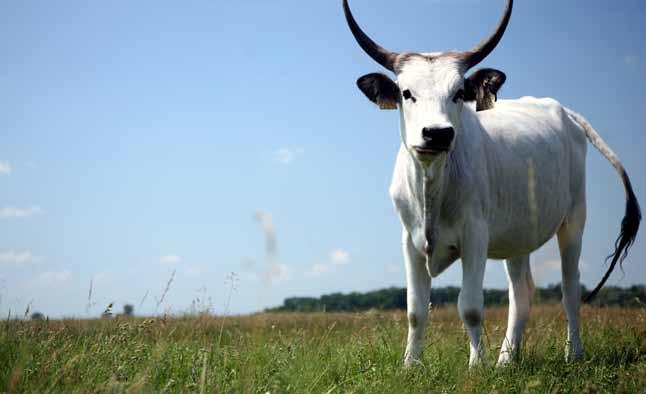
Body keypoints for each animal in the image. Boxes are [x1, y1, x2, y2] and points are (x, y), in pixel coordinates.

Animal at [344, 0, 644, 368]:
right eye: (406, 93)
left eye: (459, 93)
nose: (437, 133)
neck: (432, 186)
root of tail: (562, 110)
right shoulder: (410, 241)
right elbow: (415, 311)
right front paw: (410, 365)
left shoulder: (475, 236)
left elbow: (470, 307)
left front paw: (477, 365)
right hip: (519, 235)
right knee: (522, 293)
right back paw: (507, 359)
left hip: (574, 219)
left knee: (570, 289)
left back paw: (572, 352)